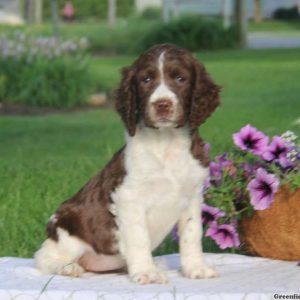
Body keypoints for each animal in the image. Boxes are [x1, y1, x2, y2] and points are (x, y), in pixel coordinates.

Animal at [34, 44, 220, 284]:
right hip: (66, 229)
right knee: (44, 258)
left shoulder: (192, 196)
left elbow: (191, 233)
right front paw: (146, 271)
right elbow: (138, 237)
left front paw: (195, 268)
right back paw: (68, 267)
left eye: (180, 78)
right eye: (146, 80)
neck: (166, 144)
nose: (162, 105)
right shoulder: (128, 198)